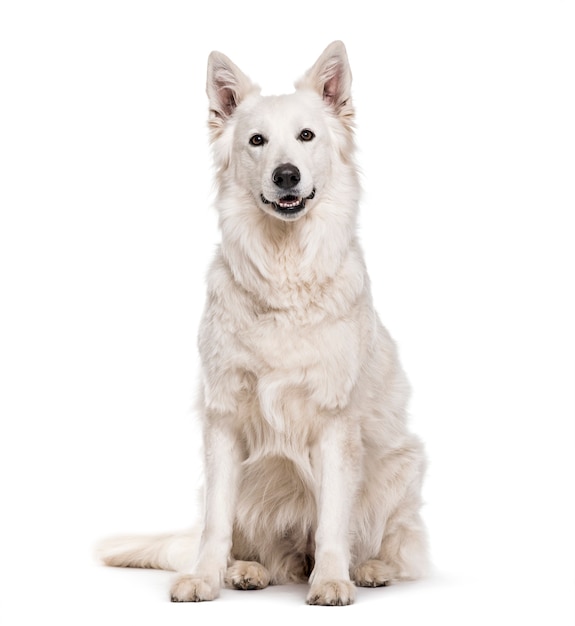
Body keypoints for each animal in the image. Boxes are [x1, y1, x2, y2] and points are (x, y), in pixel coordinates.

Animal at [99, 40, 430, 604]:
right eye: (257, 141)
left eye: (306, 136)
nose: (286, 175)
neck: (284, 273)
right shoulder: (223, 416)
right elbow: (215, 522)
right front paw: (205, 577)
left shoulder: (335, 423)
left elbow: (334, 521)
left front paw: (333, 579)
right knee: (258, 549)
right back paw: (245, 570)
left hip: (401, 465)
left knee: (394, 547)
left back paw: (369, 568)